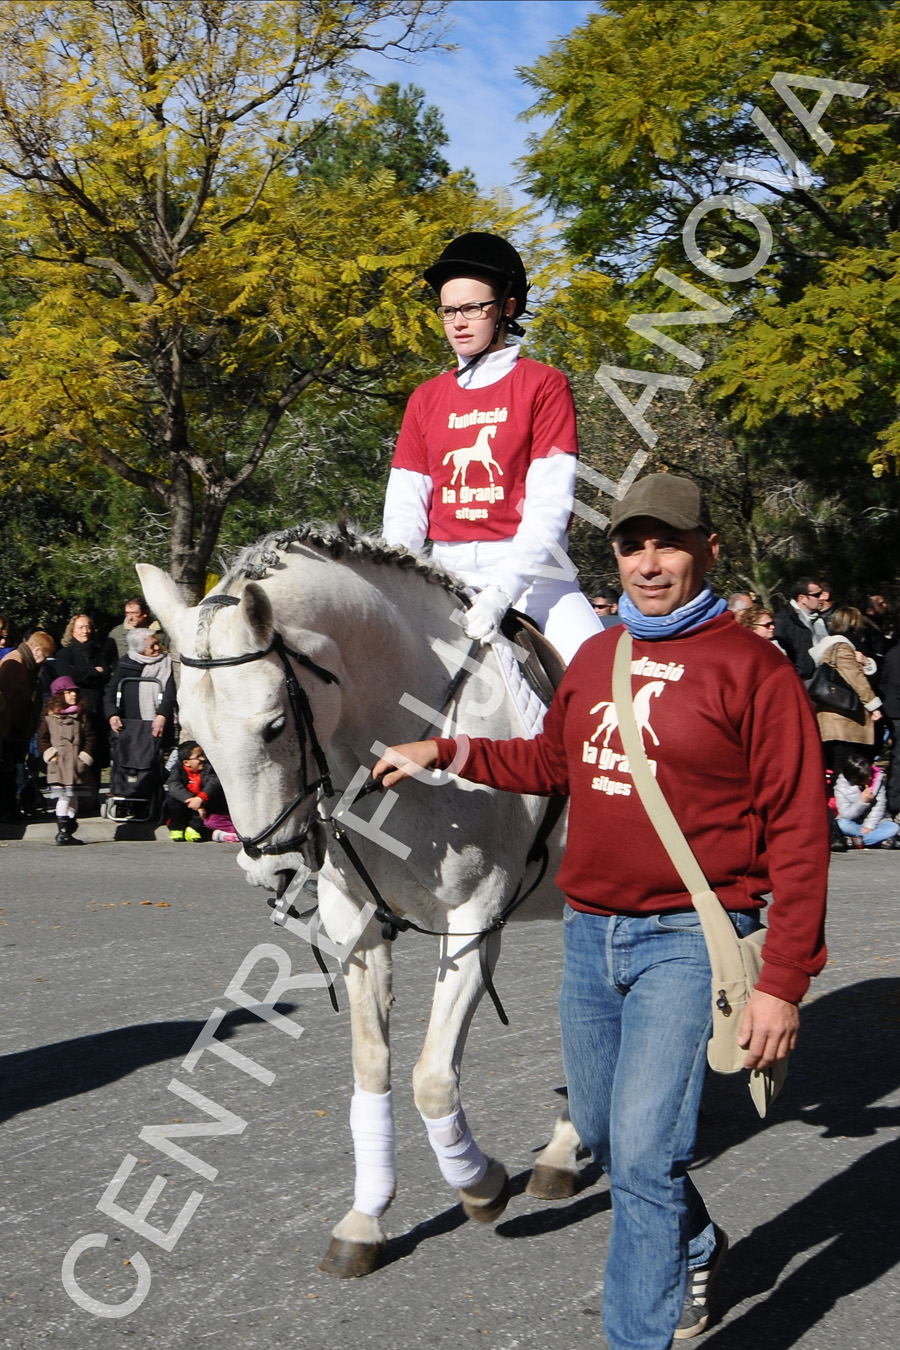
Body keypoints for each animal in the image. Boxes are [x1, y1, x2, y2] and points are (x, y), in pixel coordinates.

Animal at [141, 523, 577, 1274]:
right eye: (191, 735)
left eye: (274, 726)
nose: (274, 870)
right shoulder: (360, 926)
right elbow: (372, 1068)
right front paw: (366, 1219)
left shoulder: (475, 921)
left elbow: (432, 1076)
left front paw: (481, 1185)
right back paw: (565, 1154)